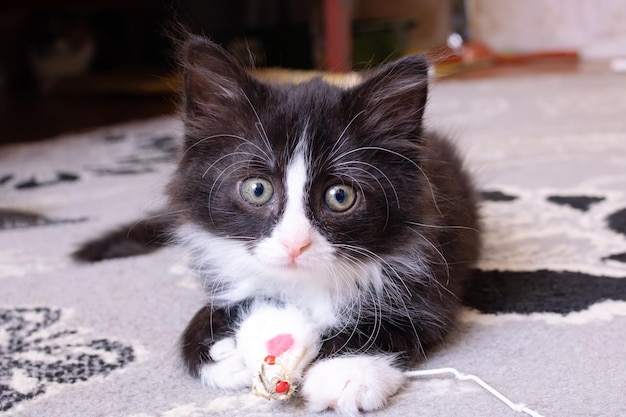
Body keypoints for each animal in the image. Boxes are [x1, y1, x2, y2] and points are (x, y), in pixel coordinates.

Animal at [75, 35, 480, 412]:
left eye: (340, 197)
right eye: (257, 189)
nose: (294, 243)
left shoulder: (431, 274)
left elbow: (399, 324)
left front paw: (346, 370)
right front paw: (220, 352)